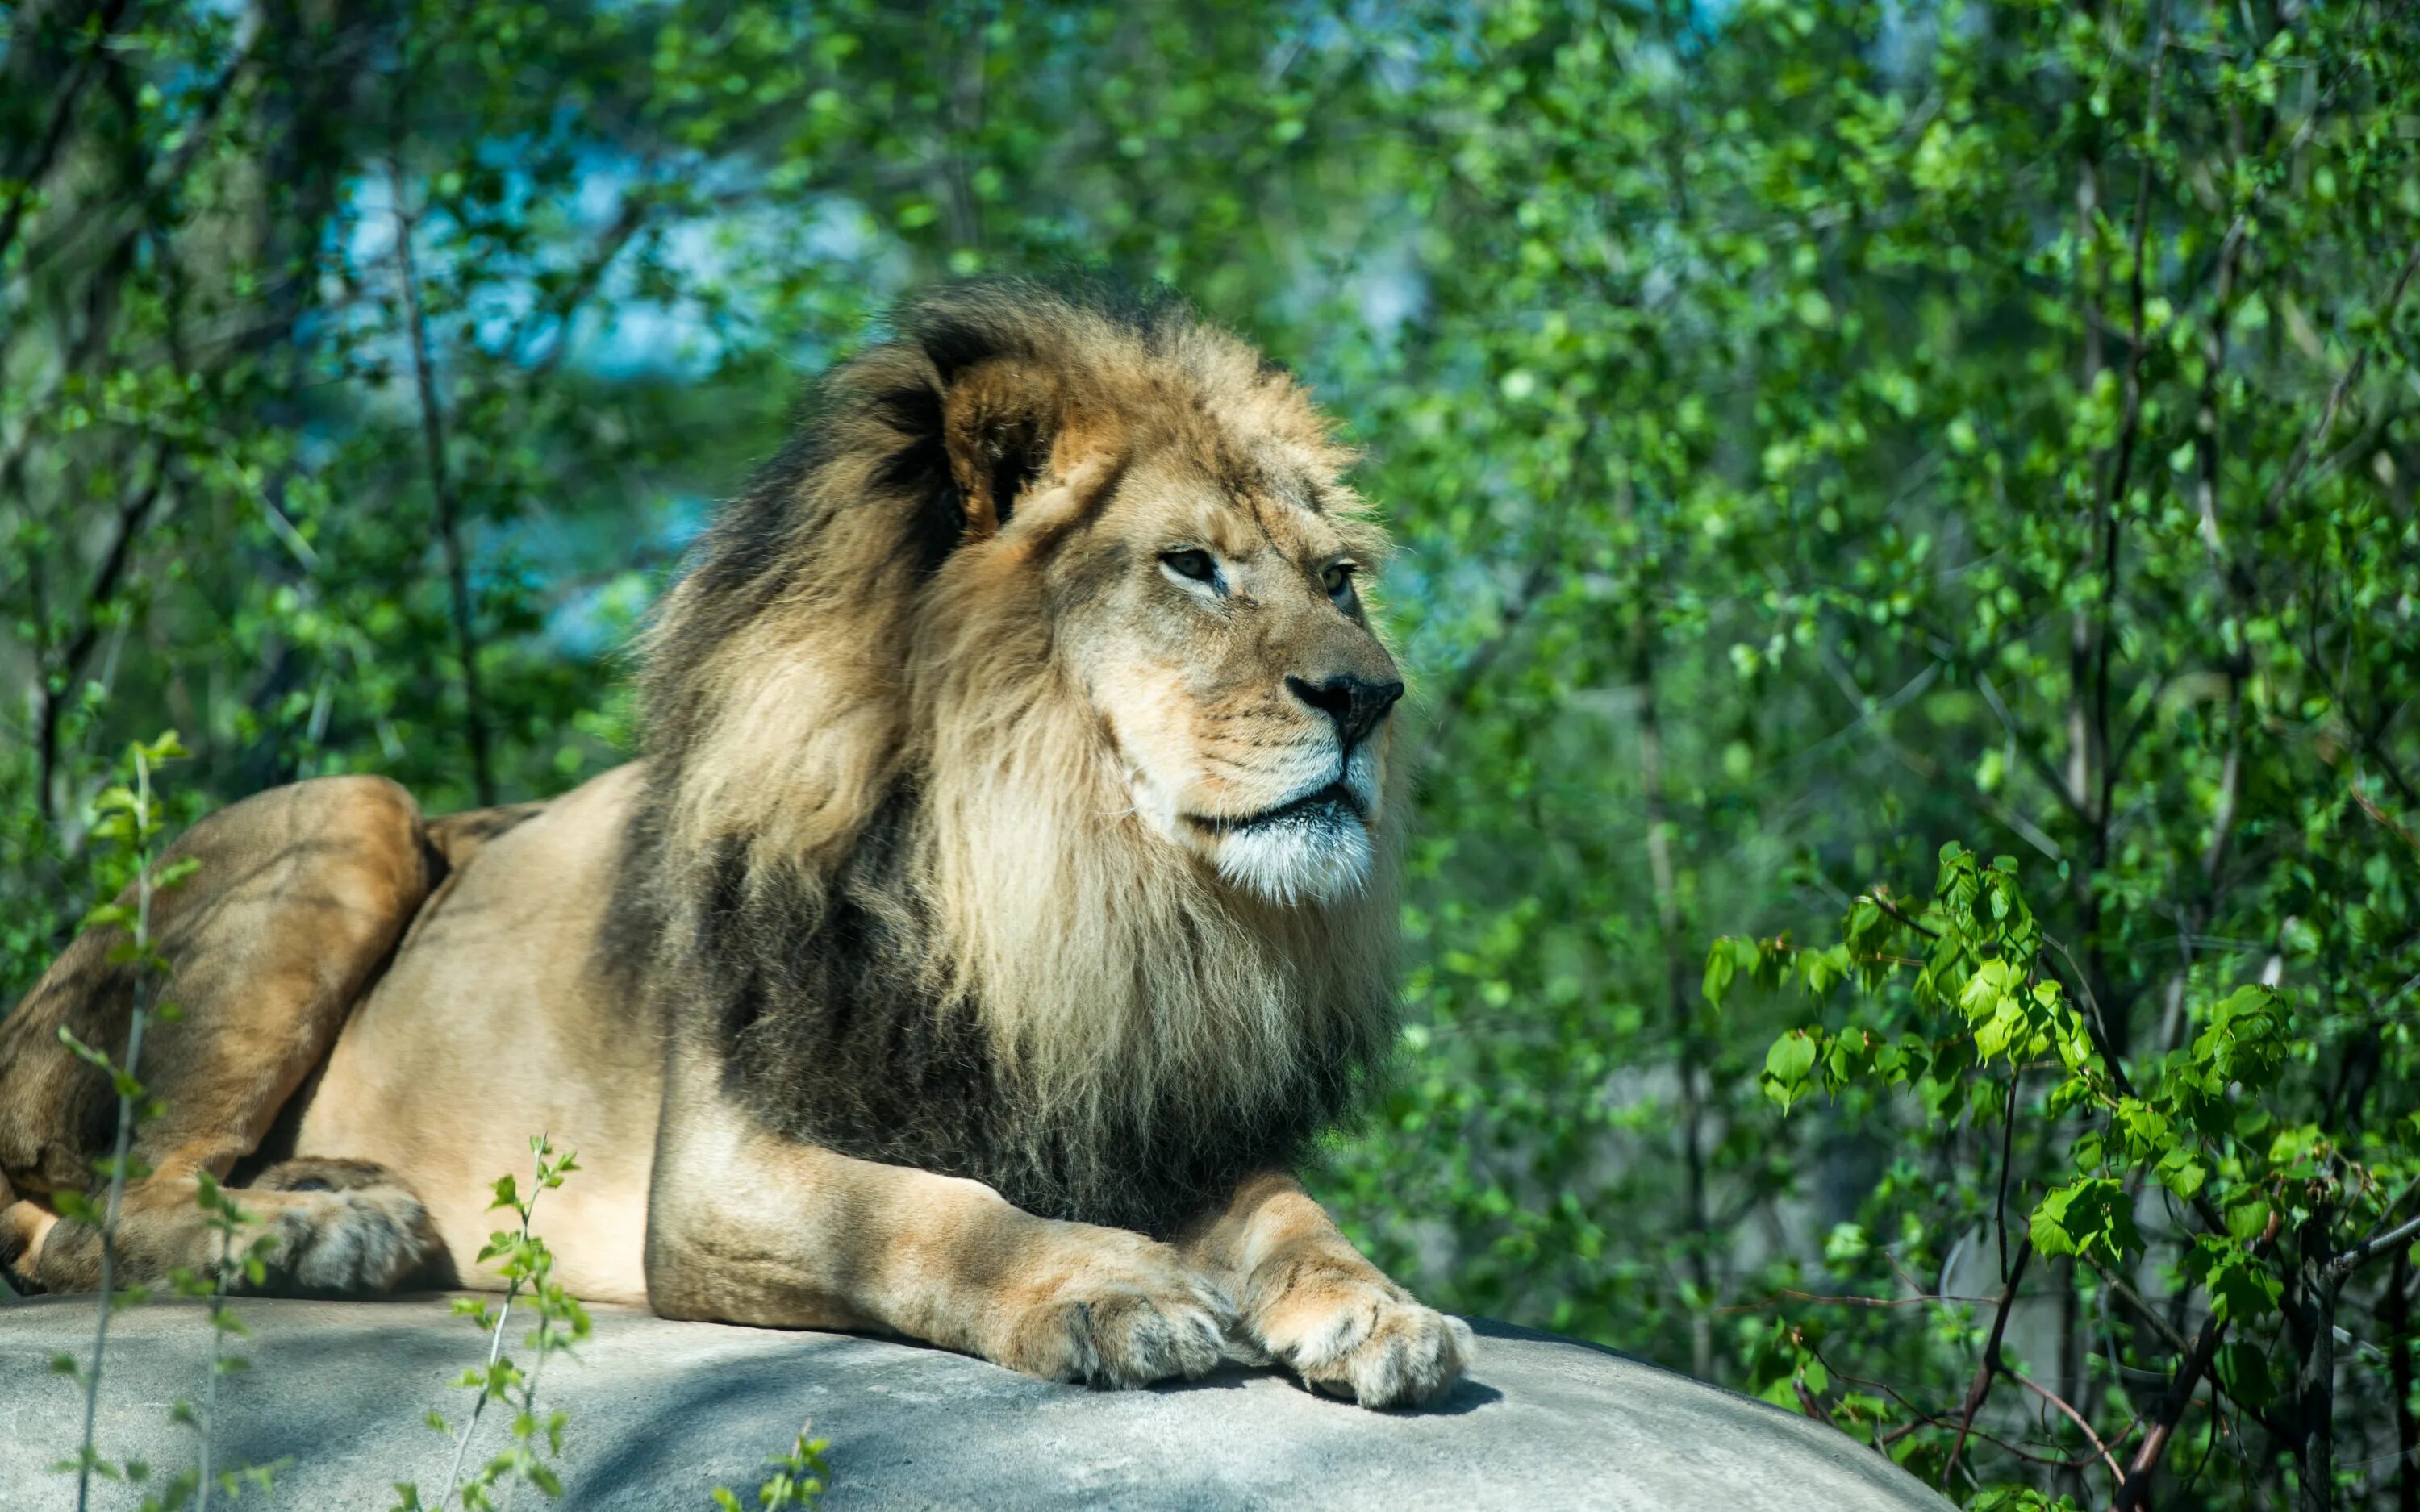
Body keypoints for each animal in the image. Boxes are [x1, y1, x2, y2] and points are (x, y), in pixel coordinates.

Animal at [0, 277, 1471, 1413]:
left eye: (1337, 579)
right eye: (1190, 565)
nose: (1371, 698)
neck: (1045, 882)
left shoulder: (1142, 1113)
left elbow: (1291, 1208)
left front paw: (1377, 1303)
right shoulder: (717, 1179)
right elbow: (934, 1212)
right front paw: (1108, 1282)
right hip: (349, 810)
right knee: (91, 1218)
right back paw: (329, 1229)